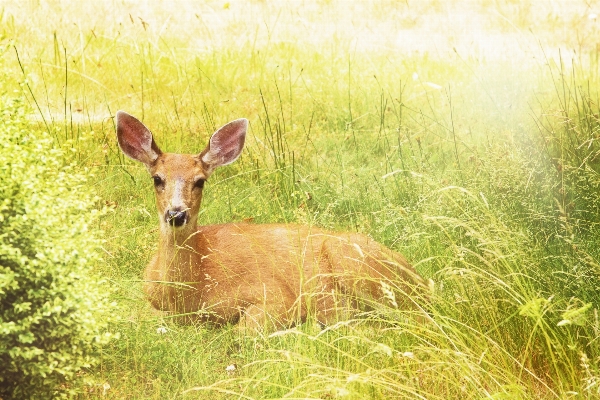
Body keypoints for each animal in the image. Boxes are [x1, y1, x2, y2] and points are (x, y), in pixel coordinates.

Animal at [115, 111, 428, 330]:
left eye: (200, 181)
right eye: (157, 178)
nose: (177, 214)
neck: (188, 294)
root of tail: (421, 280)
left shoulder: (275, 294)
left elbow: (242, 332)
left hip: (355, 264)